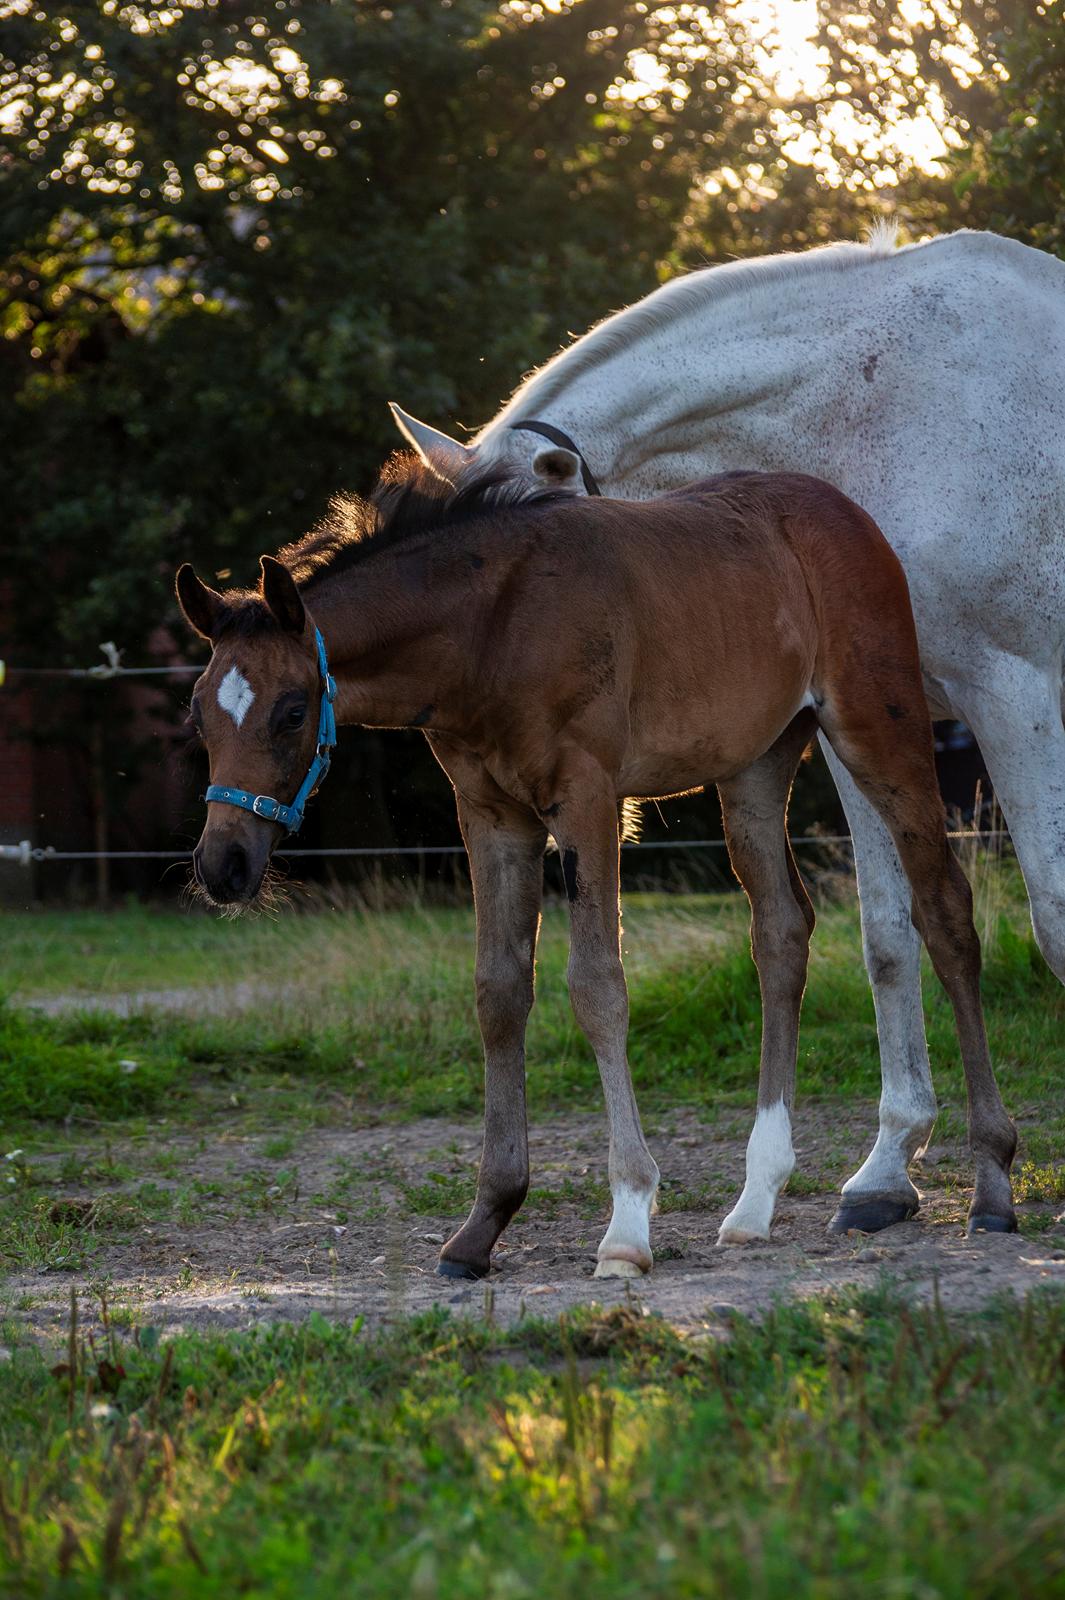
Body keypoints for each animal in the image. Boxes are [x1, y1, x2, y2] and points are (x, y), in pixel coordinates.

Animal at [178, 457, 1017, 1280]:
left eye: (291, 712)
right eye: (198, 714)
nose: (223, 865)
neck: (490, 629)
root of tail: (842, 510)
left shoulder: (586, 798)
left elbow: (596, 987)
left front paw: (626, 1222)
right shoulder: (490, 816)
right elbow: (499, 991)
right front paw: (483, 1223)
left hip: (878, 727)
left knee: (943, 910)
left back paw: (990, 1185)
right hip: (754, 764)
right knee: (781, 930)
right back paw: (754, 1201)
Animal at [388, 225, 1061, 1248]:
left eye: (514, 565)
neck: (882, 403)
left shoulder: (1014, 697)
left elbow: (1050, 919)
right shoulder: (866, 725)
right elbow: (887, 936)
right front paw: (882, 1173)